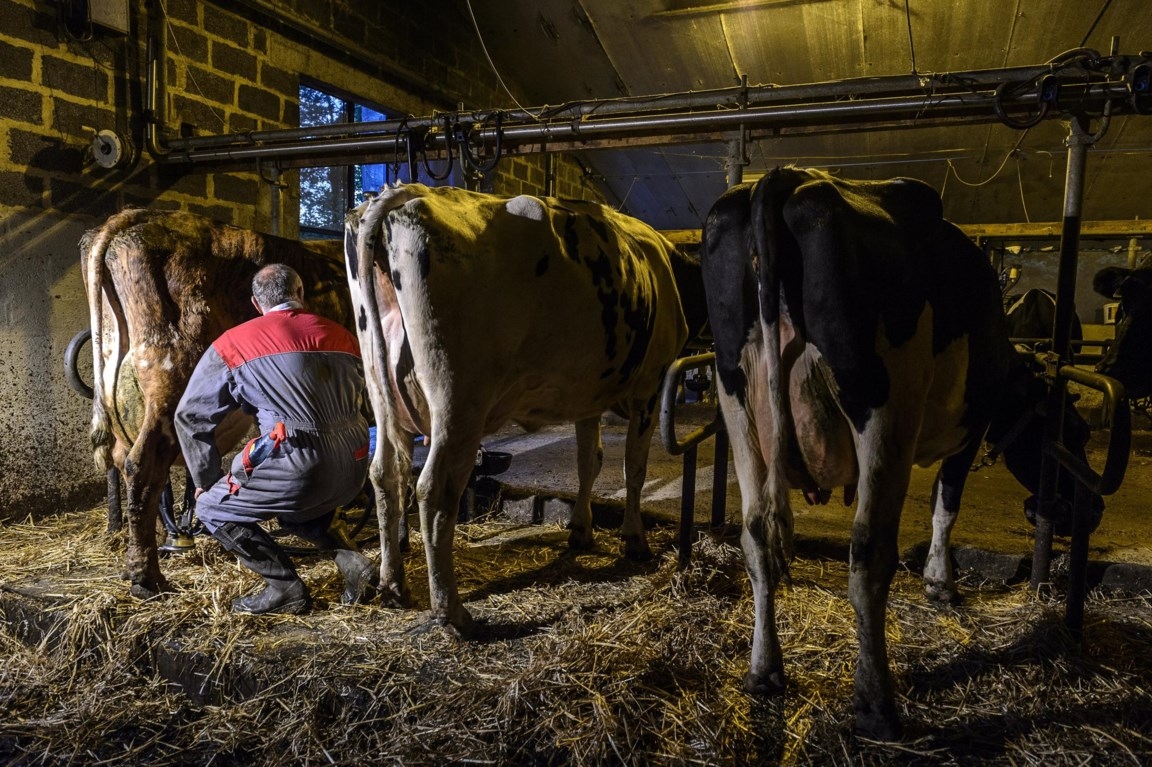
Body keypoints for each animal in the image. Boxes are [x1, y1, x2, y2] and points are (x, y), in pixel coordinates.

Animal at [343, 181, 691, 631]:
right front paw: (635, 540)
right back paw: (452, 610)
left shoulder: (587, 396)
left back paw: (394, 586)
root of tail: (409, 190)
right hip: (457, 400)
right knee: (434, 489)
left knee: (386, 475)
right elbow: (634, 468)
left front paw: (581, 531)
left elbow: (590, 461)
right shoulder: (650, 386)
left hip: (382, 393)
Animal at [695, 165, 1092, 737]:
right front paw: (940, 583)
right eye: (1076, 434)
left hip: (737, 398)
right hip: (884, 406)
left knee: (756, 535)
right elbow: (946, 503)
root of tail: (787, 177)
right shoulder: (972, 423)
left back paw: (765, 672)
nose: (1088, 509)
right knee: (868, 551)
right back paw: (876, 701)